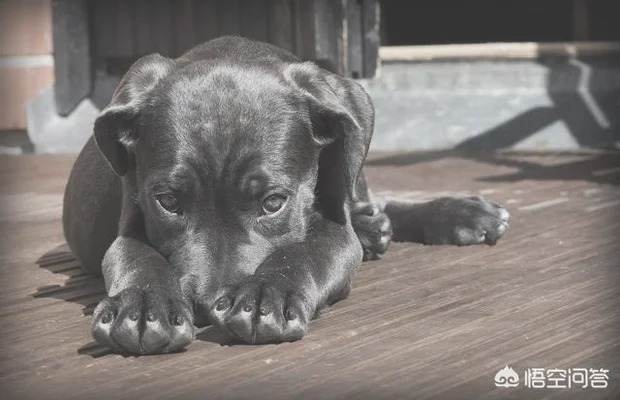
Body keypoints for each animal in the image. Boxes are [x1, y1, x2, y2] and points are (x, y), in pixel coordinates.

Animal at [61, 36, 508, 354]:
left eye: (273, 202)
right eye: (167, 202)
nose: (205, 306)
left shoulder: (334, 227)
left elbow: (305, 251)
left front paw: (265, 294)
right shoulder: (131, 217)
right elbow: (135, 256)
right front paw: (141, 305)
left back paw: (458, 214)